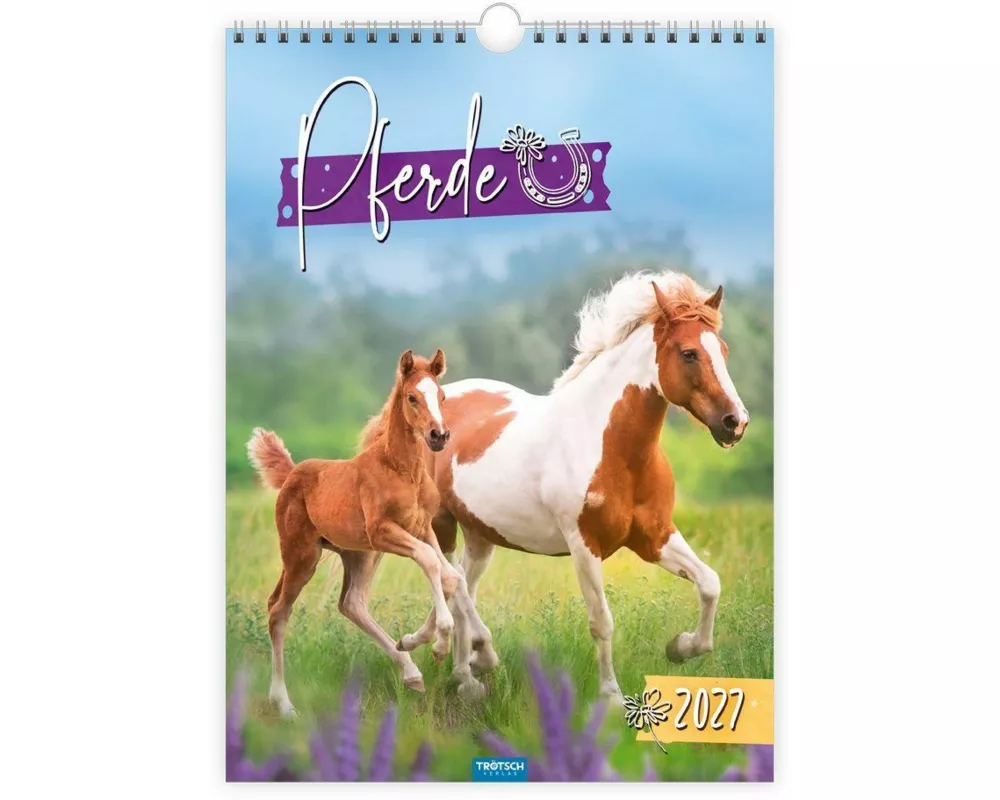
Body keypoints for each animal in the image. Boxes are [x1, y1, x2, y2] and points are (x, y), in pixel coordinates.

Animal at [246, 348, 473, 717]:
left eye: (441, 396)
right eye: (412, 397)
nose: (439, 436)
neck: (402, 470)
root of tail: (292, 473)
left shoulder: (422, 528)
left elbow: (450, 575)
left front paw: (420, 641)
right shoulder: (383, 531)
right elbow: (430, 562)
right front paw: (440, 641)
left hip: (357, 553)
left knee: (350, 603)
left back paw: (411, 672)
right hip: (302, 555)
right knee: (278, 610)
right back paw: (284, 704)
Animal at [415, 271, 750, 701]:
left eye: (722, 349)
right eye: (689, 353)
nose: (735, 423)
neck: (613, 449)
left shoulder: (655, 536)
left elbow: (710, 584)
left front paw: (680, 647)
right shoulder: (584, 545)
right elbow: (601, 621)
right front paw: (610, 696)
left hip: (480, 534)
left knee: (463, 588)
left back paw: (465, 675)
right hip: (441, 524)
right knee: (453, 583)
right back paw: (480, 656)